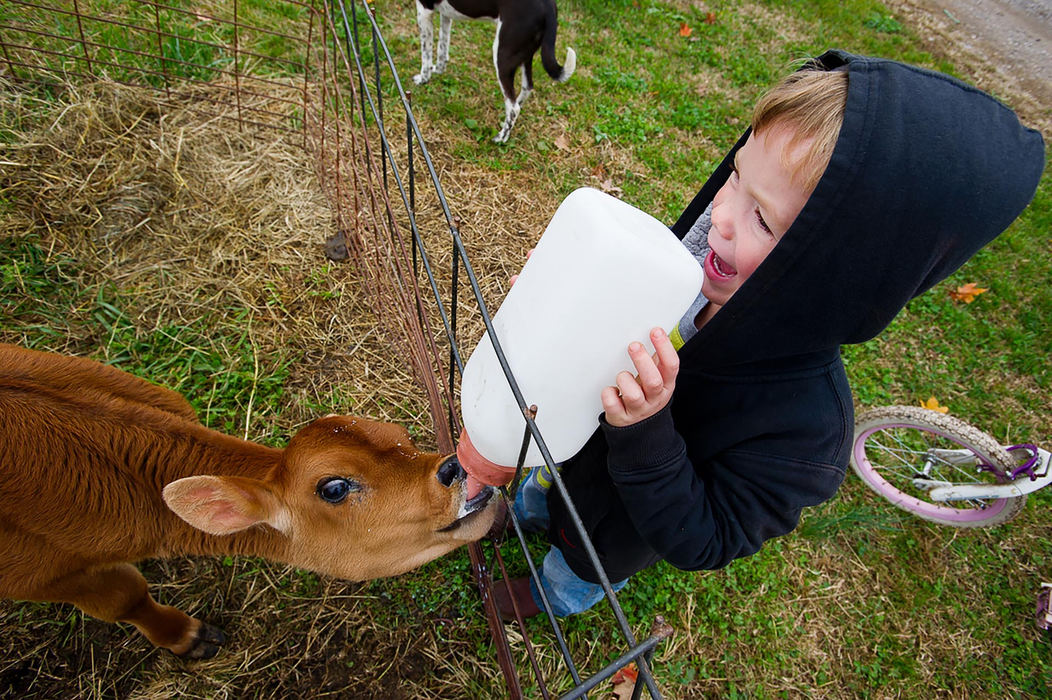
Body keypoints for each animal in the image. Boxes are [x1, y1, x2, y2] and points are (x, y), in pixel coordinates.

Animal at [0, 343, 494, 656]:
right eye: (333, 487)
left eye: (400, 435)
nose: (455, 468)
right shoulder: (39, 576)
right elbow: (127, 598)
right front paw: (189, 638)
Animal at [410, 0, 576, 143]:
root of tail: (549, 7)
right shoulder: (445, 14)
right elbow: (442, 48)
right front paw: (438, 70)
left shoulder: (424, 10)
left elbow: (426, 54)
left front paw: (423, 79)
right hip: (524, 55)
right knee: (526, 89)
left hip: (503, 55)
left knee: (513, 107)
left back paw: (501, 138)